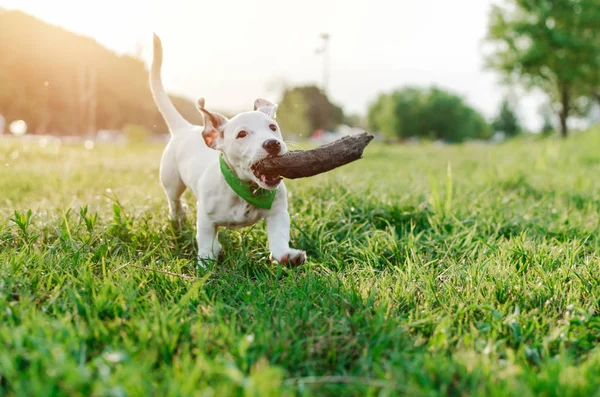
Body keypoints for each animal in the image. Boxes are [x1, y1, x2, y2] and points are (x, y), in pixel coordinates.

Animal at [148, 34, 308, 266]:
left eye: (273, 127)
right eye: (241, 134)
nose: (272, 144)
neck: (245, 189)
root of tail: (185, 128)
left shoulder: (278, 211)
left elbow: (278, 237)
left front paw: (287, 256)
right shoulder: (205, 218)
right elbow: (205, 240)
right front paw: (205, 264)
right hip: (171, 181)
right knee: (175, 202)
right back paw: (179, 220)